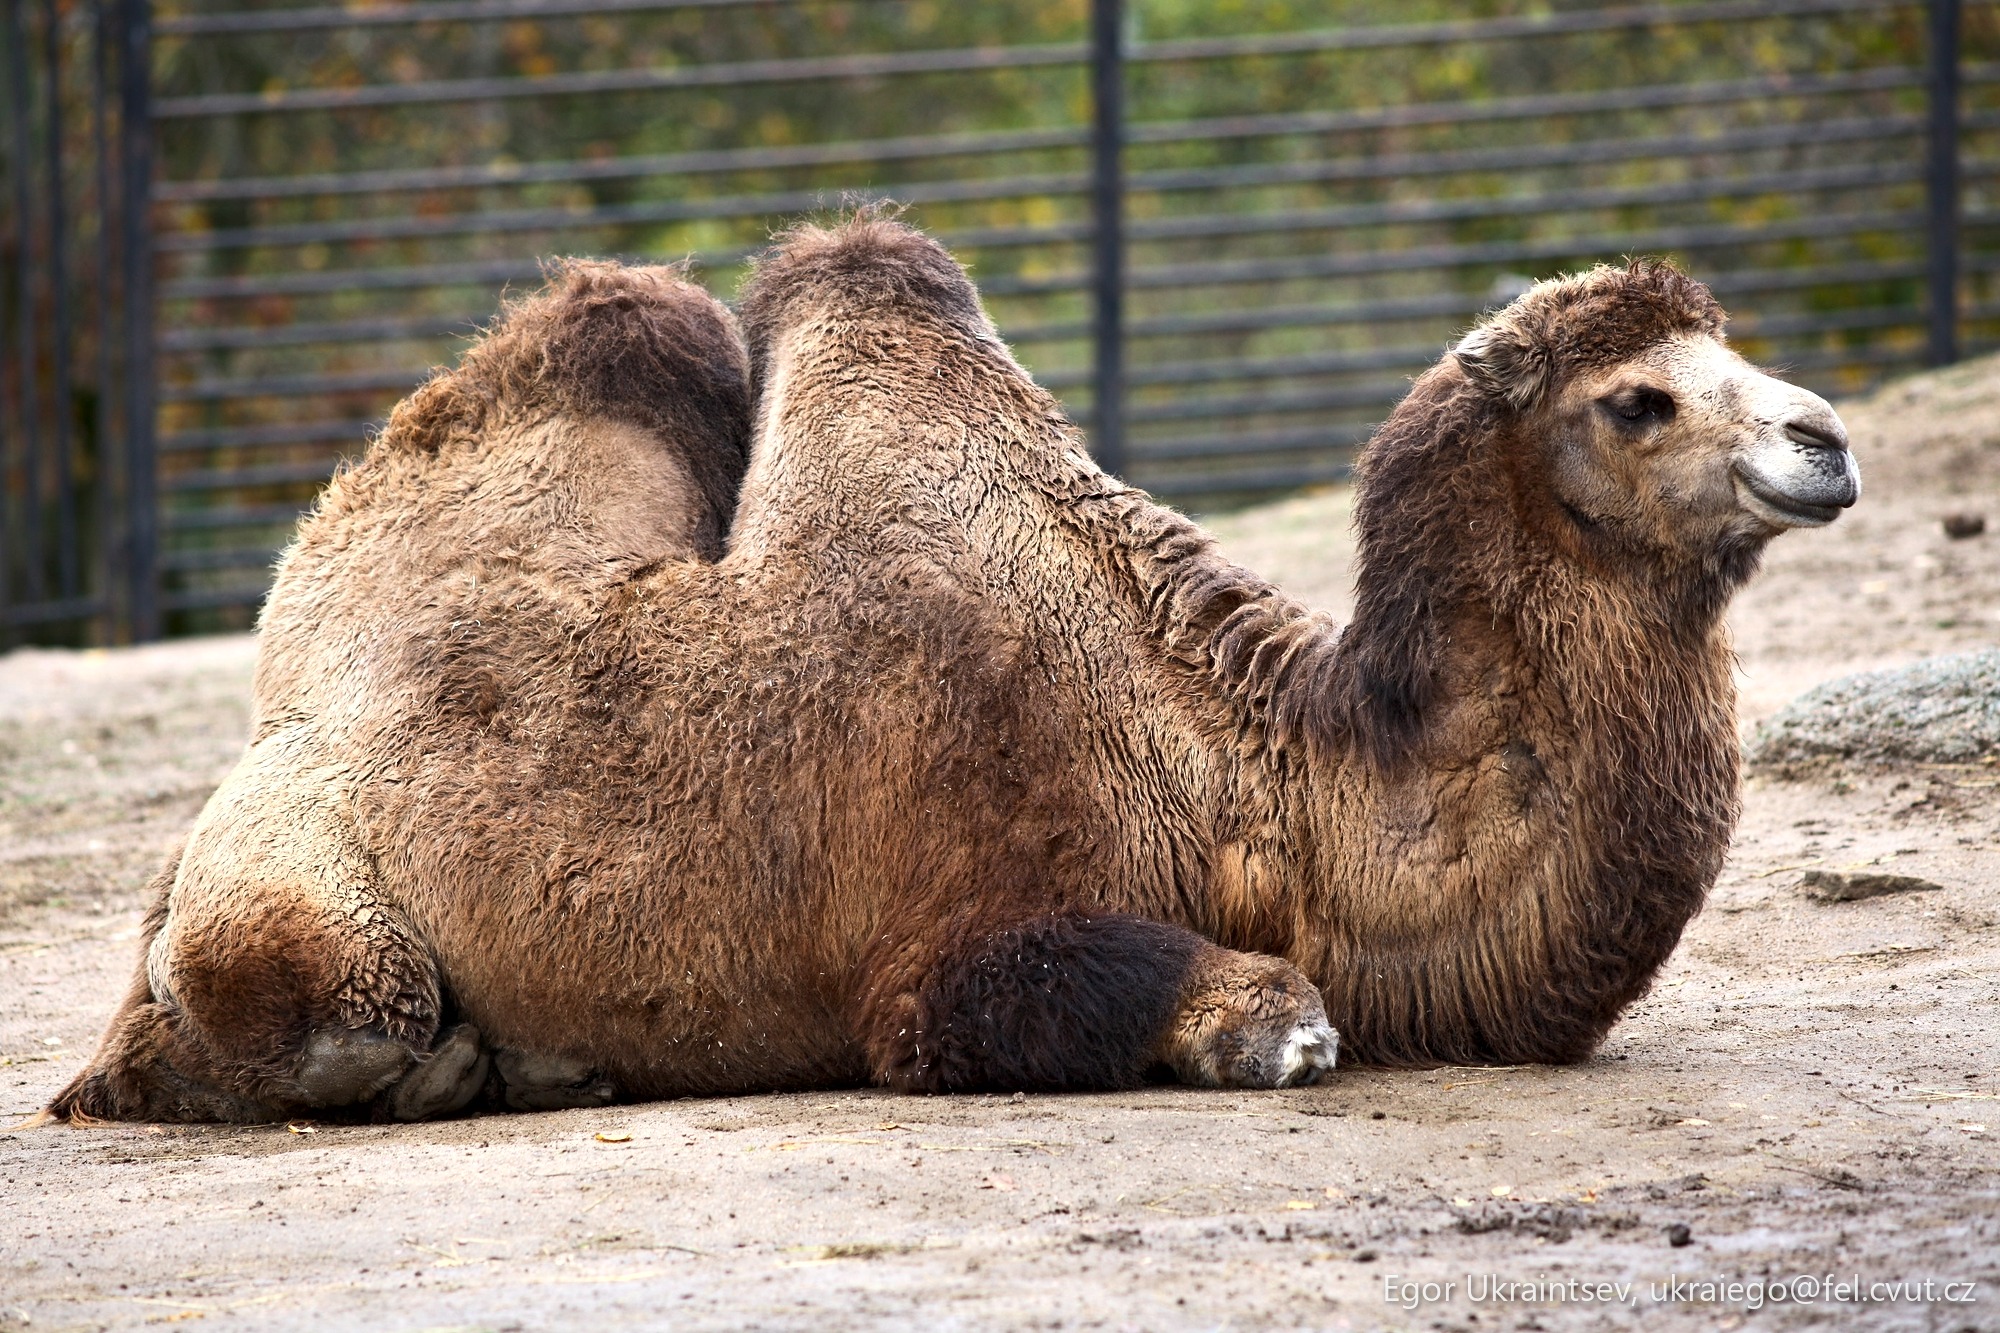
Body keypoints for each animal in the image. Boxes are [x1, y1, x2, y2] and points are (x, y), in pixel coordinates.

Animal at [47, 218, 1859, 1123]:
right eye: (1640, 398)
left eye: (1736, 354)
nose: (1826, 439)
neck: (1255, 780)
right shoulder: (936, 953)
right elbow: (1229, 1002)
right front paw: (1261, 1020)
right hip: (301, 874)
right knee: (320, 1021)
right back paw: (460, 1063)